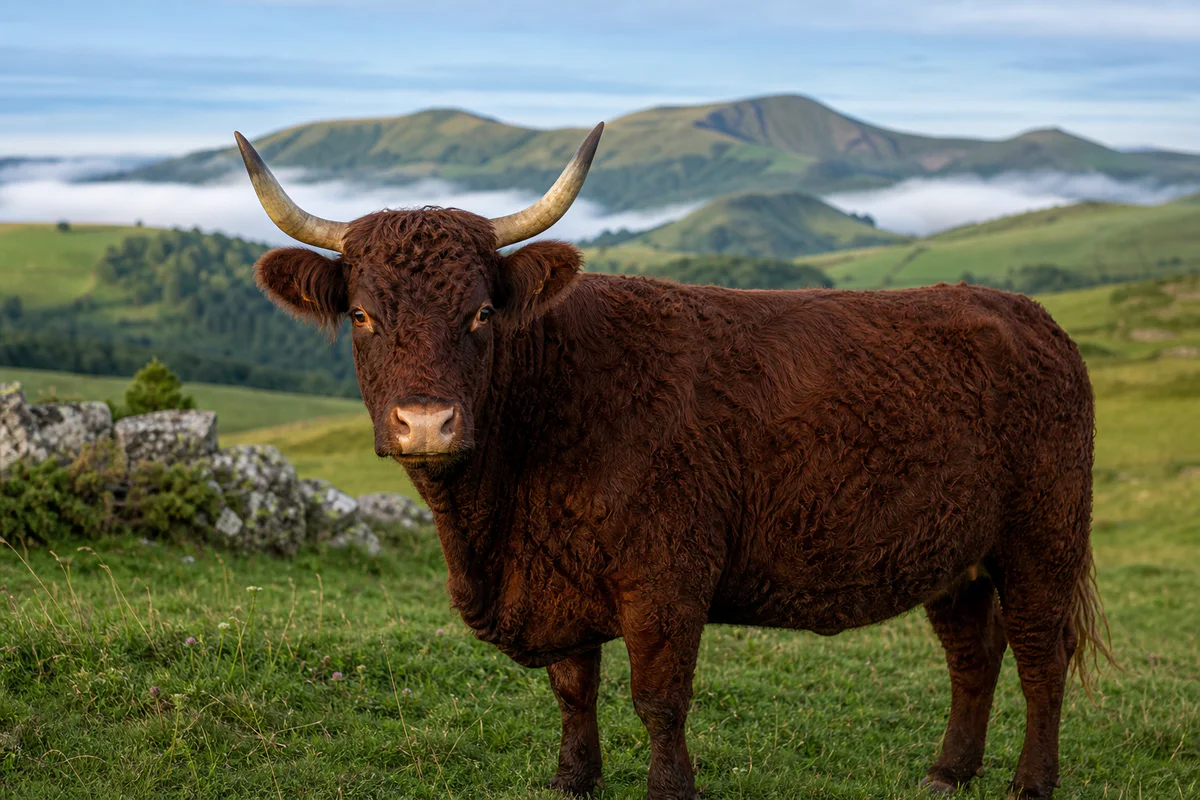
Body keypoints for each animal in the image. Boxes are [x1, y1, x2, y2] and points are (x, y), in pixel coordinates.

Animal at [234, 123, 1109, 799]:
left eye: (481, 312)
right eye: (361, 315)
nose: (426, 423)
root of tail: (1026, 315)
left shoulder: (666, 575)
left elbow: (658, 698)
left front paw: (668, 785)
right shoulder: (560, 577)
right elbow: (572, 689)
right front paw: (573, 779)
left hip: (1042, 536)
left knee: (1040, 653)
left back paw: (1032, 782)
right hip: (953, 554)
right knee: (973, 653)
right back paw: (948, 770)